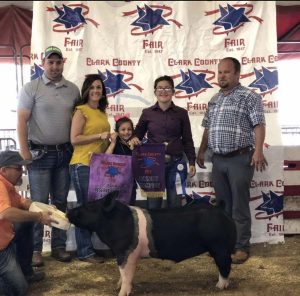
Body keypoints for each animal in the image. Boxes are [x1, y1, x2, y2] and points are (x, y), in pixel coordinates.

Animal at [66, 191, 237, 294]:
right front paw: (117, 285)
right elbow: (122, 274)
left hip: (220, 247)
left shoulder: (127, 252)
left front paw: (121, 293)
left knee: (225, 266)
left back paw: (219, 287)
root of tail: (222, 211)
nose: (68, 212)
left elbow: (126, 273)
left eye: (89, 206)